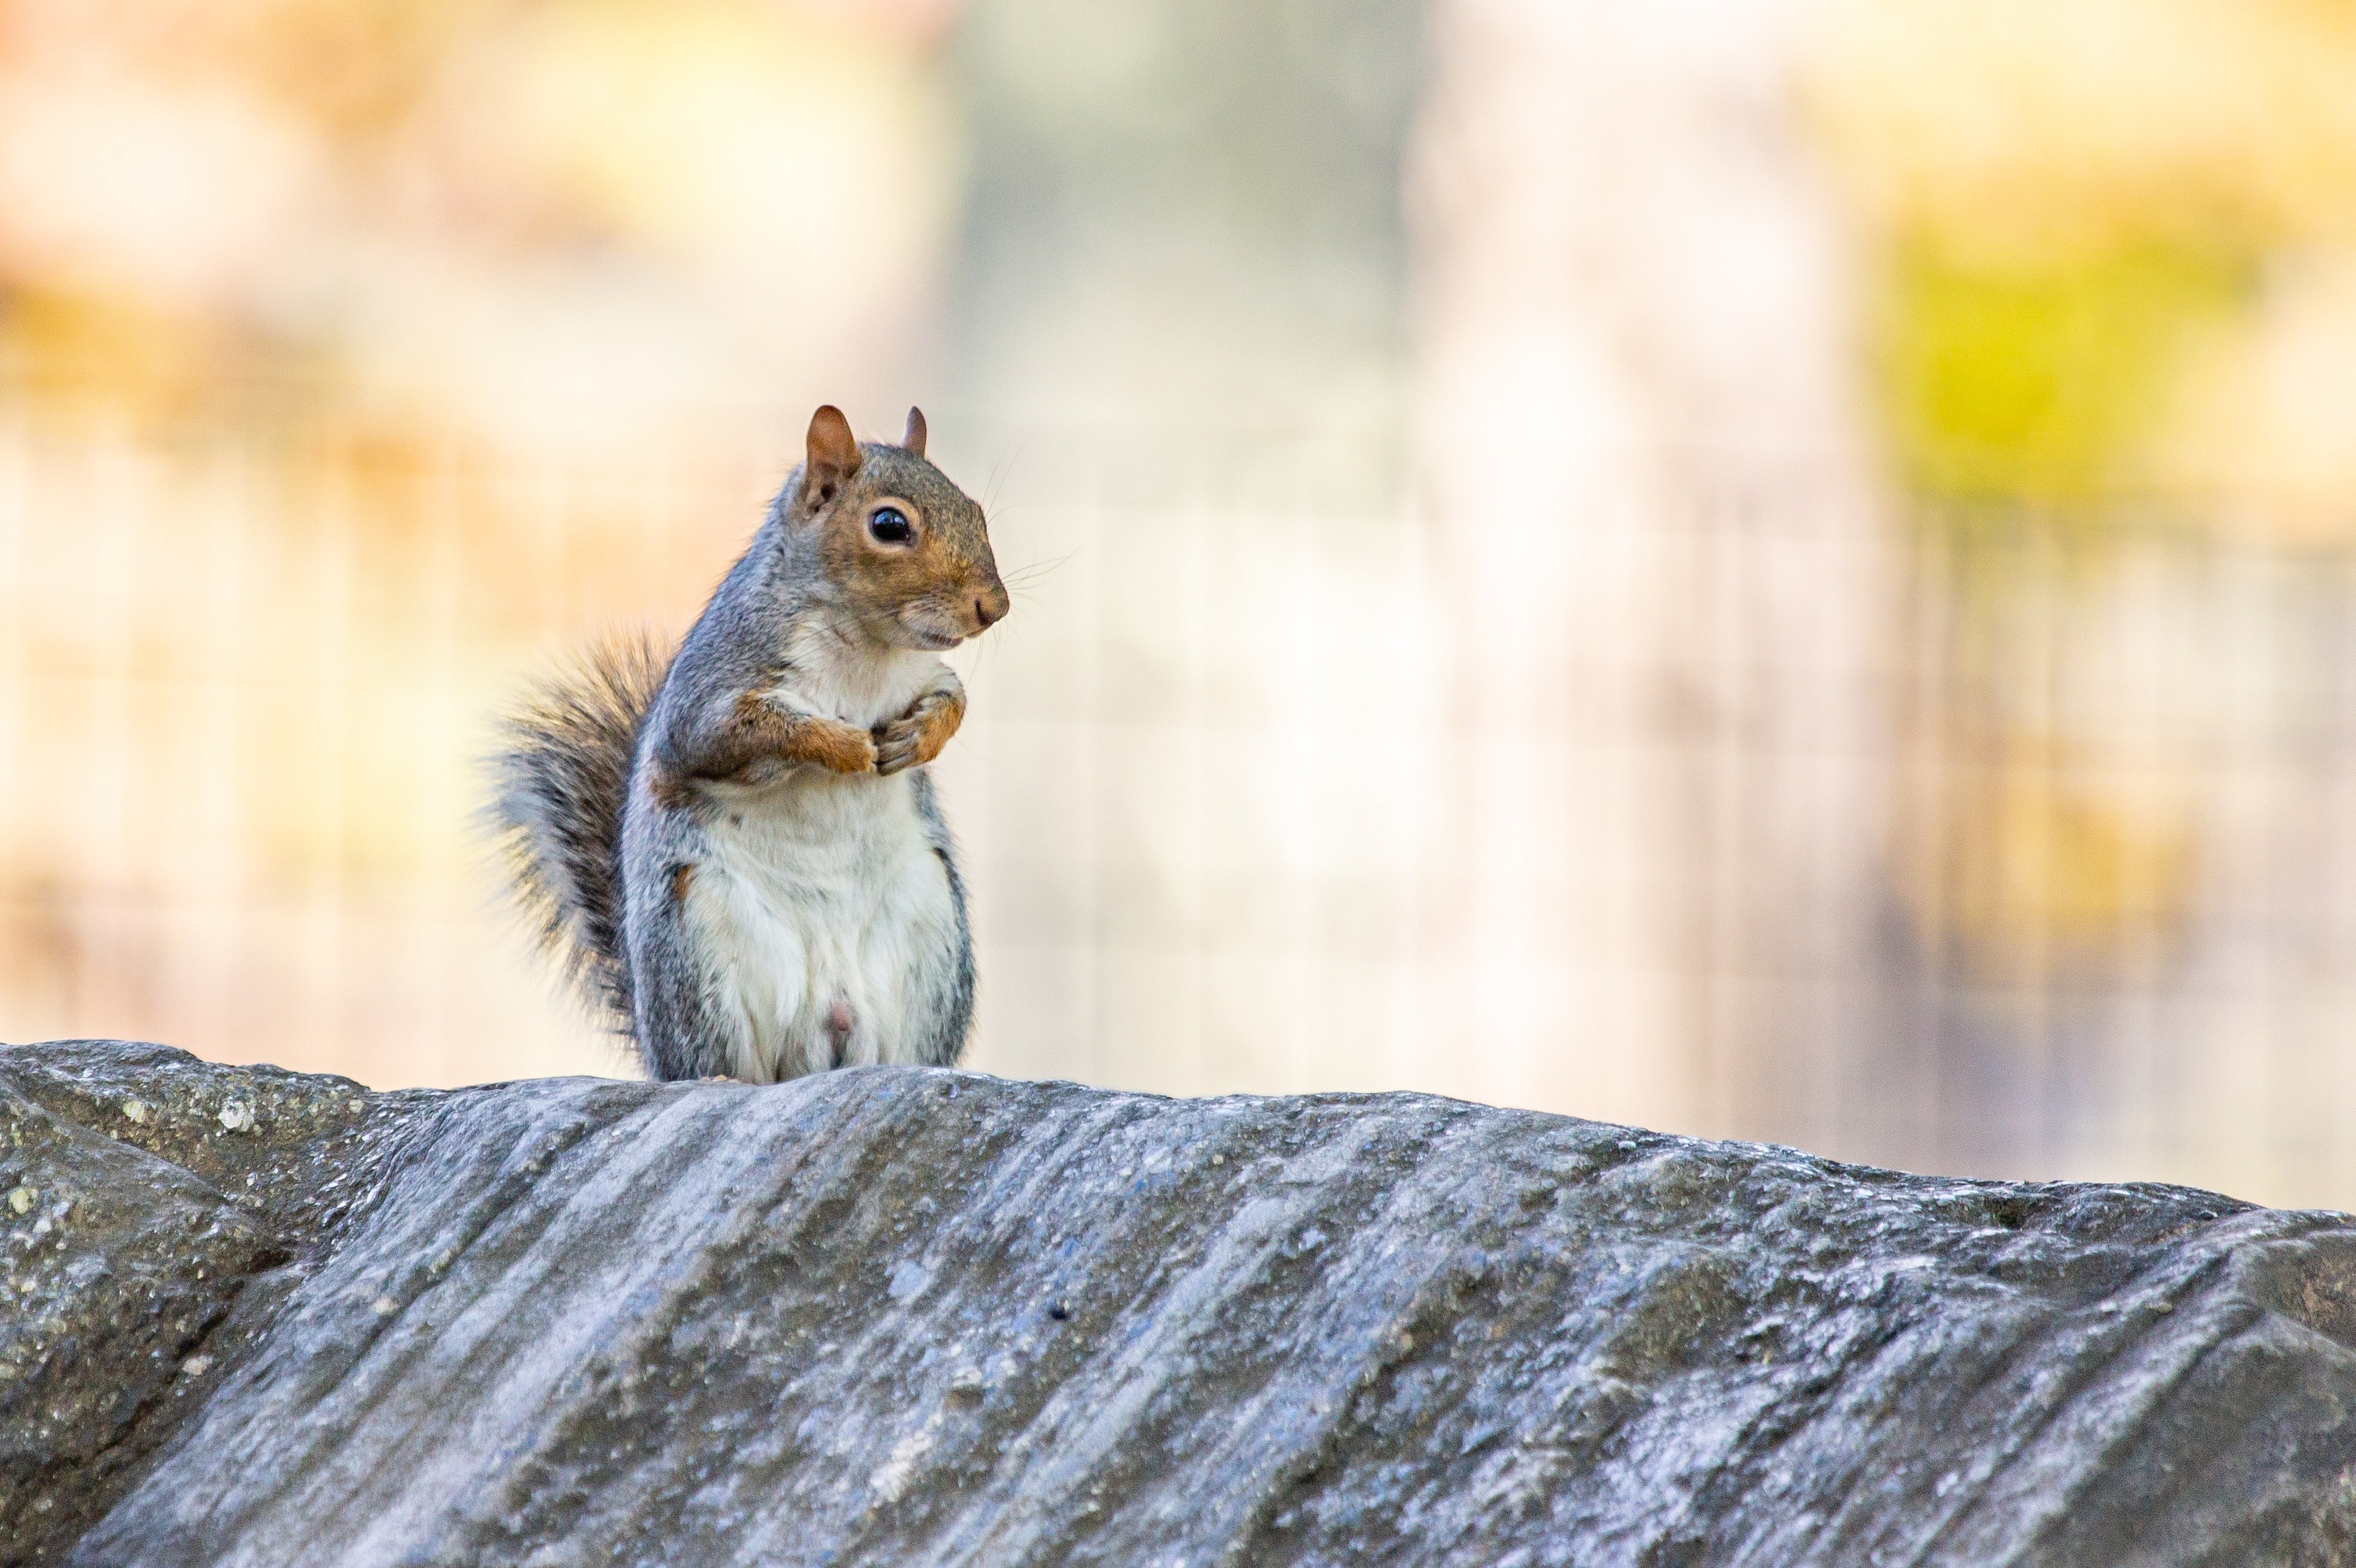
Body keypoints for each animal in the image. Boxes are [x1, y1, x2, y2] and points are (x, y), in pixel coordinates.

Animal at [490, 404, 1010, 1082]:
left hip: (931, 930)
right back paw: (720, 1076)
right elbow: (750, 732)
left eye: (974, 510)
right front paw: (844, 746)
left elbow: (953, 698)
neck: (868, 649)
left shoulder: (925, 675)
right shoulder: (709, 694)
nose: (994, 606)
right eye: (889, 525)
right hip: (701, 940)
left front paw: (917, 741)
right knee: (725, 1059)